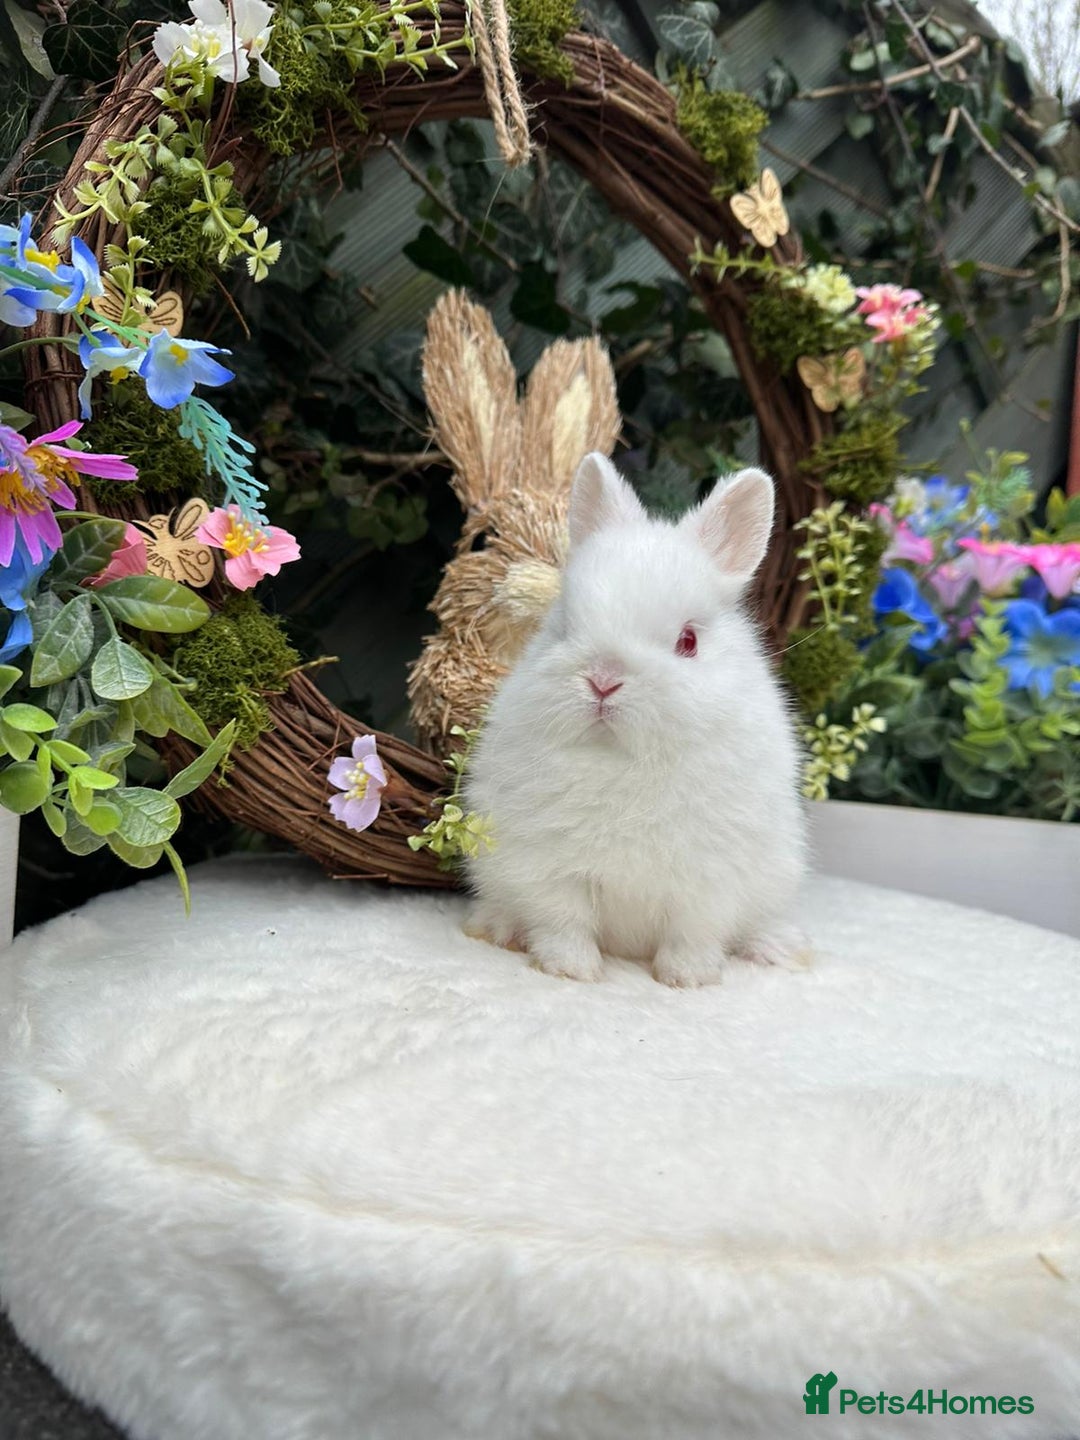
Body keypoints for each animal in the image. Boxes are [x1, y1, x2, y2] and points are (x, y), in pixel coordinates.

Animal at [463, 451, 809, 987]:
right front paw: (571, 970)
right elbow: (564, 922)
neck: (622, 759)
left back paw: (776, 949)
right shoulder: (550, 869)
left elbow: (693, 934)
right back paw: (496, 929)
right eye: (564, 626)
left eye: (688, 641)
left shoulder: (708, 883)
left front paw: (686, 979)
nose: (603, 680)